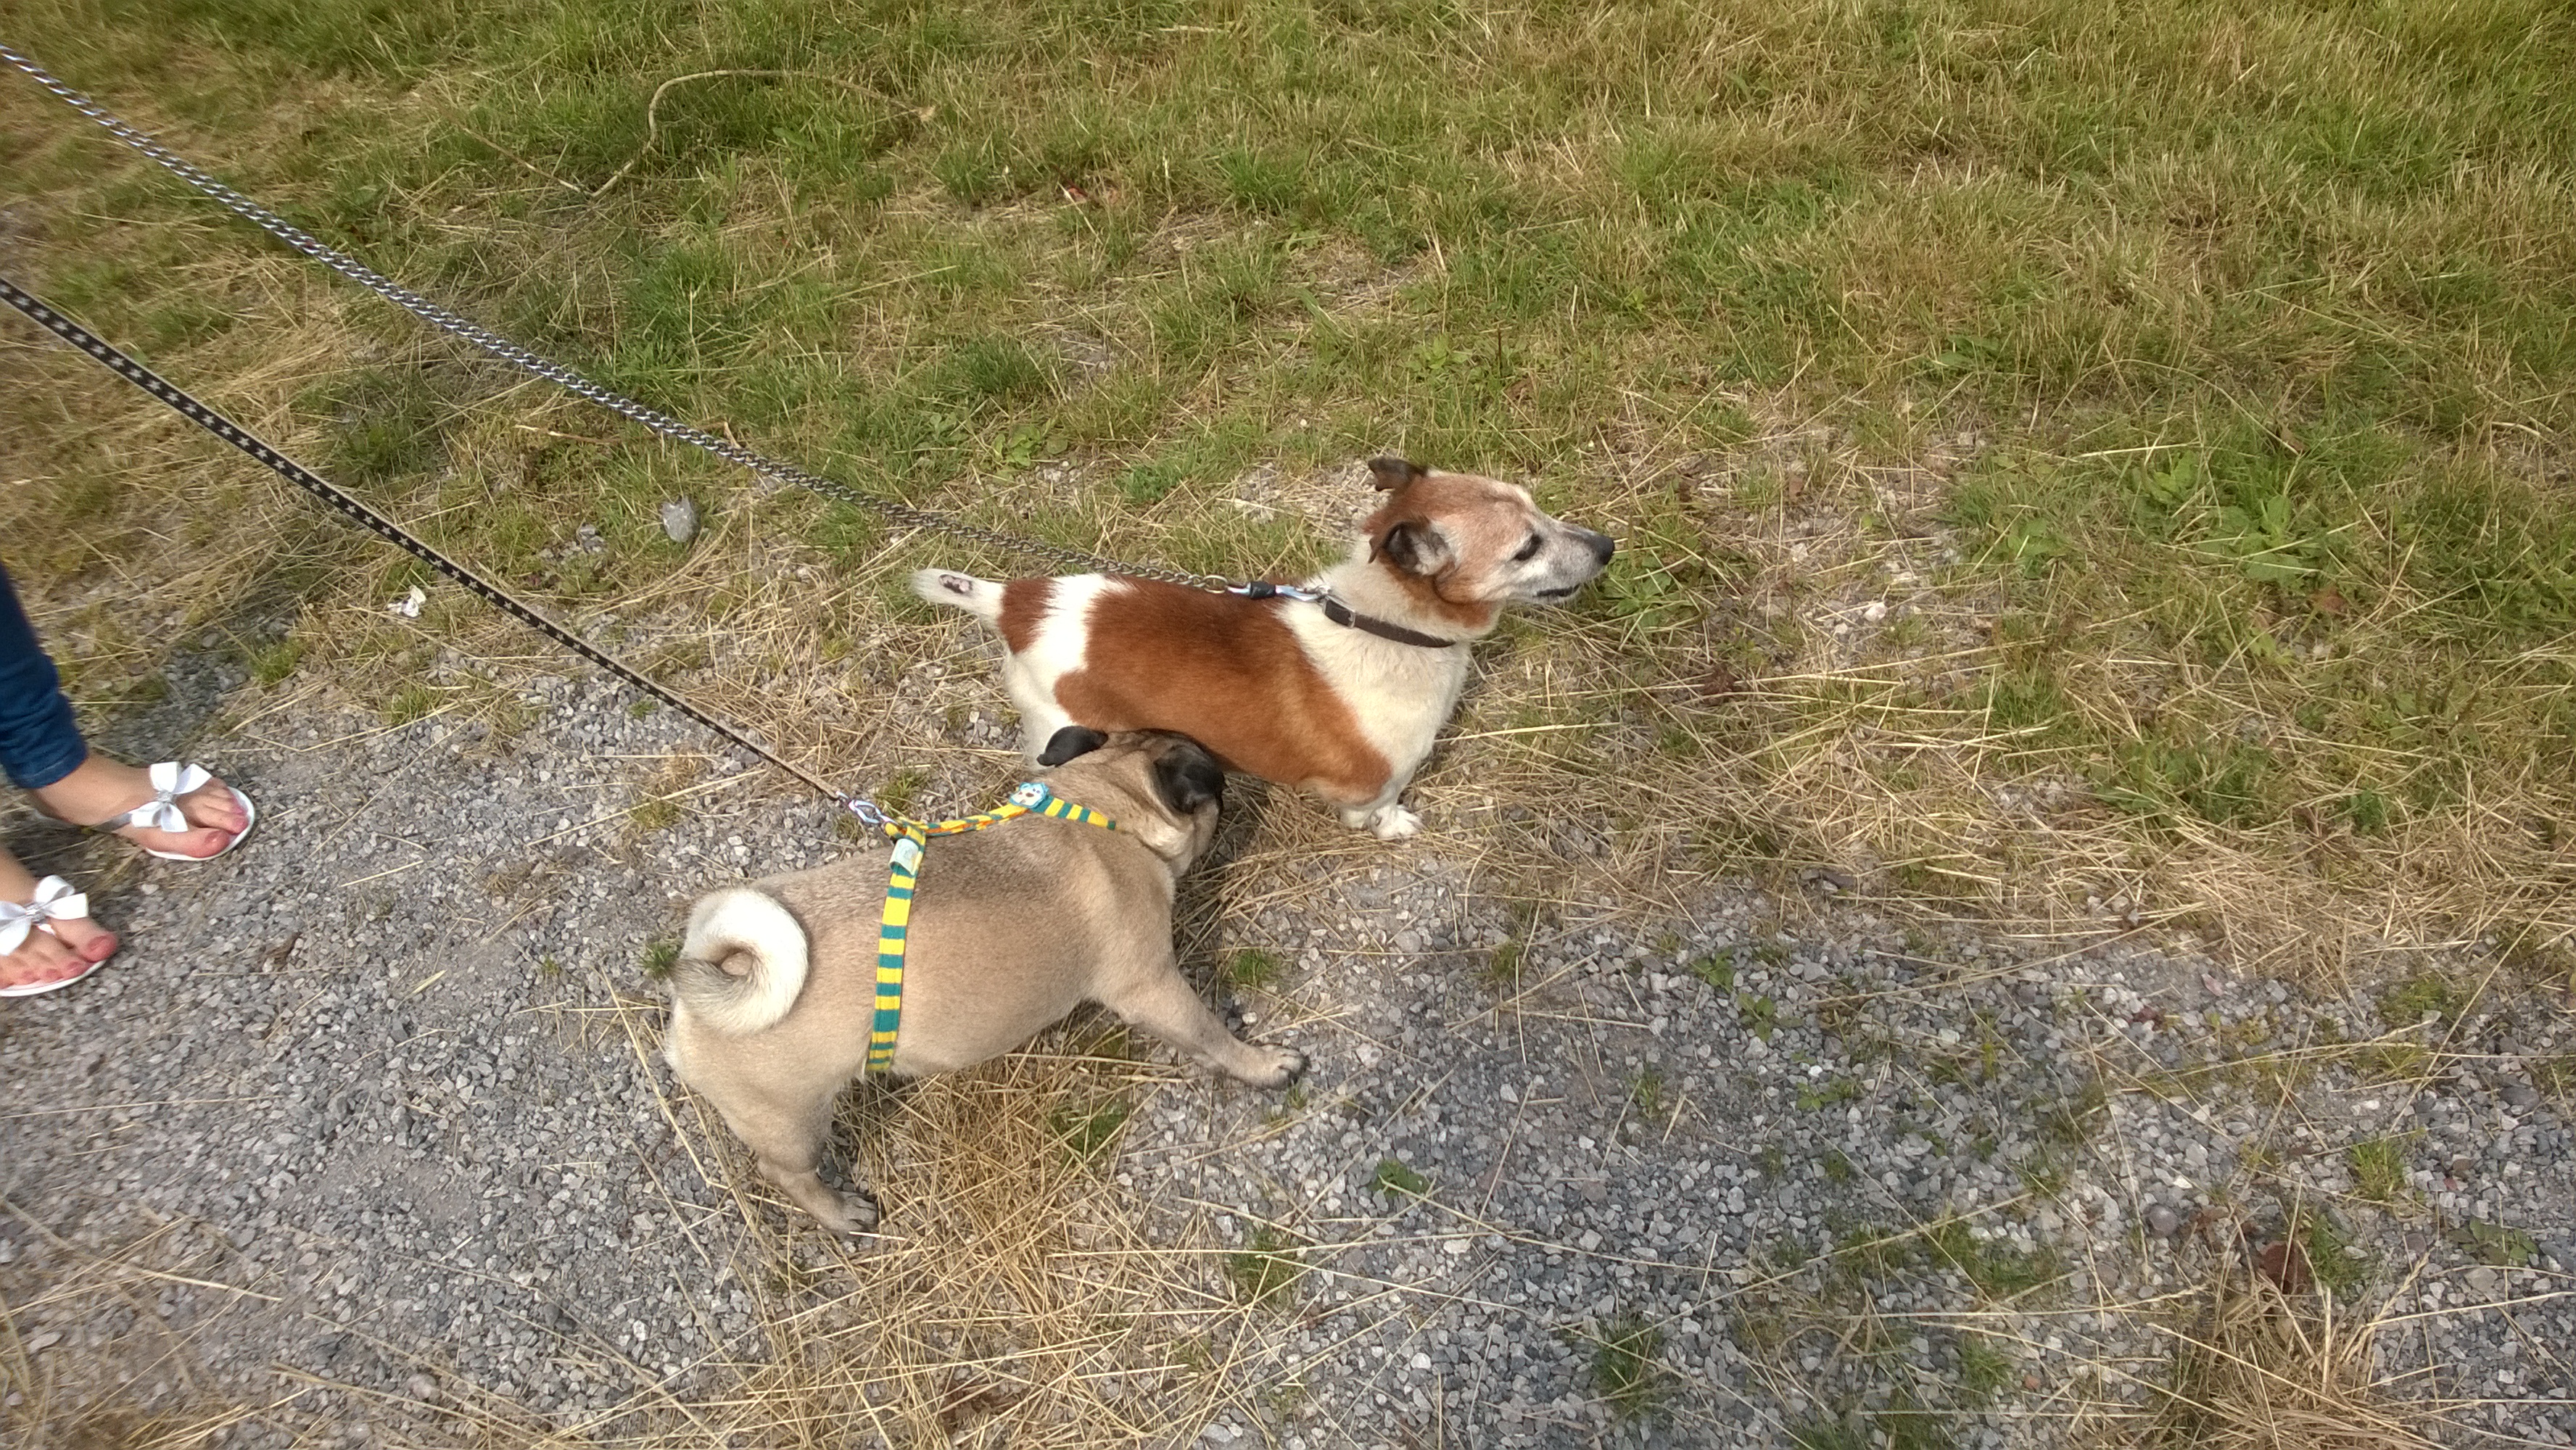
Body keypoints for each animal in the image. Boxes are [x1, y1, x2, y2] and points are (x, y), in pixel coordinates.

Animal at [661, 728, 1303, 1233]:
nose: (1231, 787)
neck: (1105, 807)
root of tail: (702, 987)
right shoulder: (1152, 987)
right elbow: (1212, 1035)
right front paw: (1264, 1065)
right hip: (791, 1120)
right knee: (783, 1172)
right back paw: (841, 1213)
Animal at [913, 457, 1613, 838]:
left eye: (1538, 508)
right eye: (1526, 548)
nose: (1609, 546)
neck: (1381, 622)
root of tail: (1014, 603)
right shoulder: (1381, 776)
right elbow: (1381, 807)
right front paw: (1390, 827)